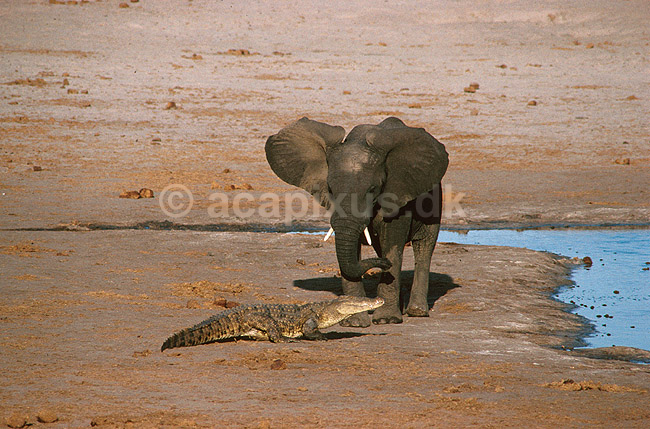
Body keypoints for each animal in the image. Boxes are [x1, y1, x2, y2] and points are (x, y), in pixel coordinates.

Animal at [265, 117, 448, 326]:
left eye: (372, 189)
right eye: (330, 188)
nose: (384, 264)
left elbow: (393, 241)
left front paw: (386, 320)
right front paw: (354, 322)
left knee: (425, 245)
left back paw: (416, 311)